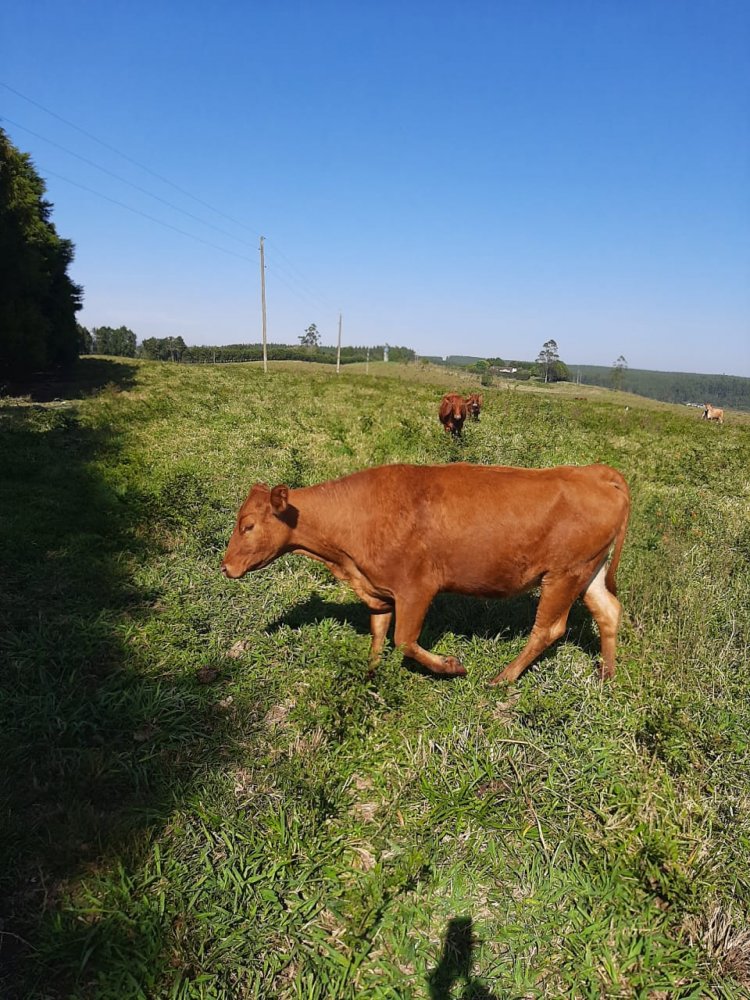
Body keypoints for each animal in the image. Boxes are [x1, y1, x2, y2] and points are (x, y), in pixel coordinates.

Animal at [220, 462, 632, 684]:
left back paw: (502, 679)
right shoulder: (379, 590)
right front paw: (369, 677)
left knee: (548, 629)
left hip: (563, 574)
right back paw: (607, 676)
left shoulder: (416, 588)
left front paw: (450, 666)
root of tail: (595, 473)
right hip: (589, 571)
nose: (226, 566)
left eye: (248, 526)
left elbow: (403, 639)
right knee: (608, 612)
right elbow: (378, 635)